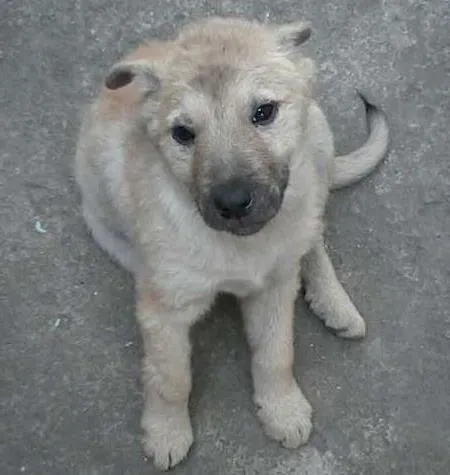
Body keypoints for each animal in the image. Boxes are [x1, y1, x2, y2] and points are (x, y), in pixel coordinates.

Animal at [74, 17, 389, 470]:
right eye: (182, 133)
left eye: (263, 112)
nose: (233, 203)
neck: (239, 249)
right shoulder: (164, 309)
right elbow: (171, 378)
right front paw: (167, 431)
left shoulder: (274, 289)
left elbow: (276, 353)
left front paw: (282, 408)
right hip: (104, 224)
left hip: (318, 142)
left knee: (311, 234)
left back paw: (334, 301)